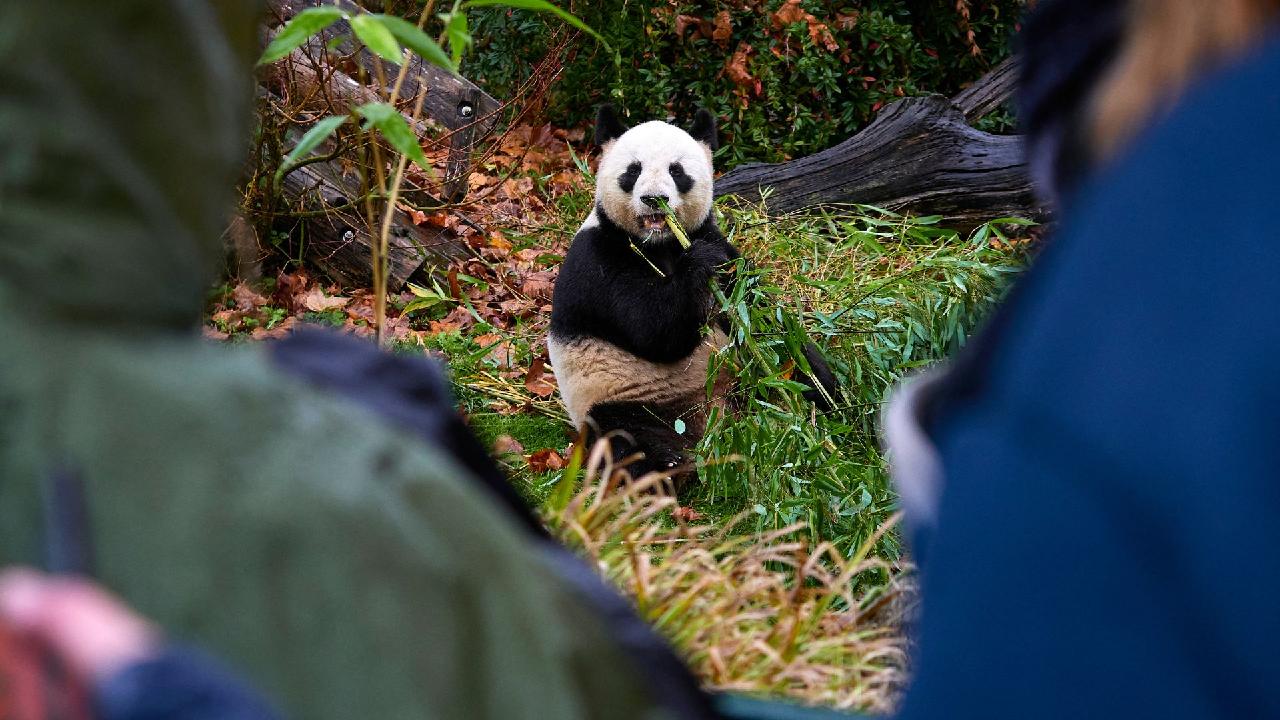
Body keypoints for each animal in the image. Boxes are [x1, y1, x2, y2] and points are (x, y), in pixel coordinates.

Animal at [547, 105, 837, 487]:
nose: (654, 199)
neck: (661, 244)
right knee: (631, 440)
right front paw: (699, 263)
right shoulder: (597, 260)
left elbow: (753, 310)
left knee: (799, 367)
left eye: (677, 171)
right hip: (622, 397)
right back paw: (669, 470)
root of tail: (715, 418)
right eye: (633, 170)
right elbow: (653, 330)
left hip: (747, 375)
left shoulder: (716, 241)